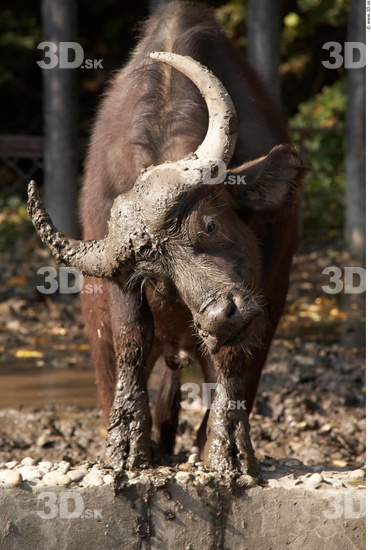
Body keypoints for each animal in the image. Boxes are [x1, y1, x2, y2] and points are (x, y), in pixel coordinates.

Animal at [27, 1, 304, 478]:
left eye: (209, 225)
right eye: (156, 277)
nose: (220, 316)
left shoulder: (265, 299)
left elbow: (232, 364)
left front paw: (228, 451)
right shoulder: (117, 284)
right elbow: (131, 341)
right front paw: (127, 446)